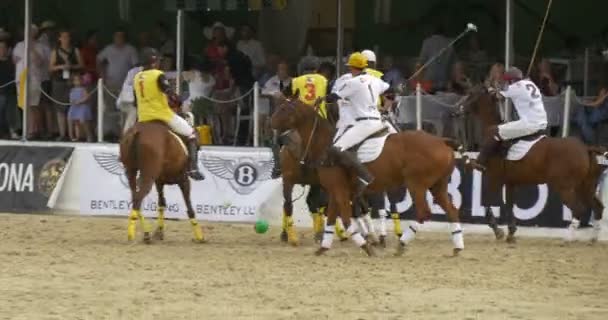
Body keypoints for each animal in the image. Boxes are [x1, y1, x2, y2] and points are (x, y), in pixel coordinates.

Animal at [270, 96, 460, 256]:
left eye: (284, 109)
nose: (270, 122)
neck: (325, 143)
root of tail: (442, 141)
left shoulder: (338, 189)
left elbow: (346, 219)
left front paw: (366, 246)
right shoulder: (334, 189)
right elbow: (332, 218)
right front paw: (323, 247)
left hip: (417, 184)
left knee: (423, 213)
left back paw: (401, 244)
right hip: (438, 185)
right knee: (451, 210)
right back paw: (457, 246)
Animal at [464, 85, 604, 242]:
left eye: (470, 94)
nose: (458, 109)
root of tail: (585, 147)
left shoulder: (494, 178)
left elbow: (487, 203)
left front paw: (497, 230)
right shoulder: (510, 182)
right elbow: (509, 206)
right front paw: (511, 232)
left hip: (564, 187)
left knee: (578, 209)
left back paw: (568, 238)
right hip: (586, 186)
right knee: (598, 207)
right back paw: (594, 238)